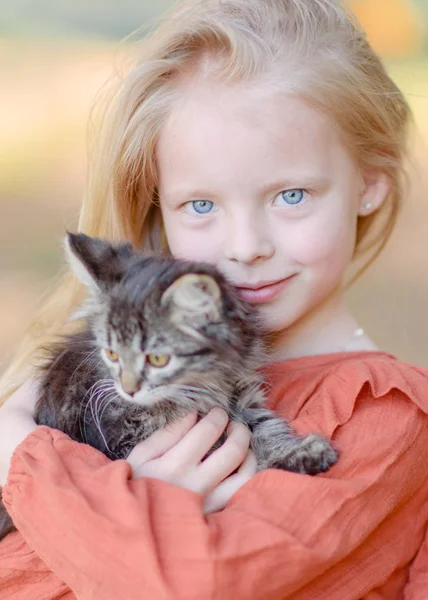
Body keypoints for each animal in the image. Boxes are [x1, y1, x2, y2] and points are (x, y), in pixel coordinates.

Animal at [0, 233, 340, 540]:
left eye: (158, 358)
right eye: (112, 354)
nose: (128, 389)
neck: (205, 386)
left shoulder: (244, 397)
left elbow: (267, 429)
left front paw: (300, 452)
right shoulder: (117, 435)